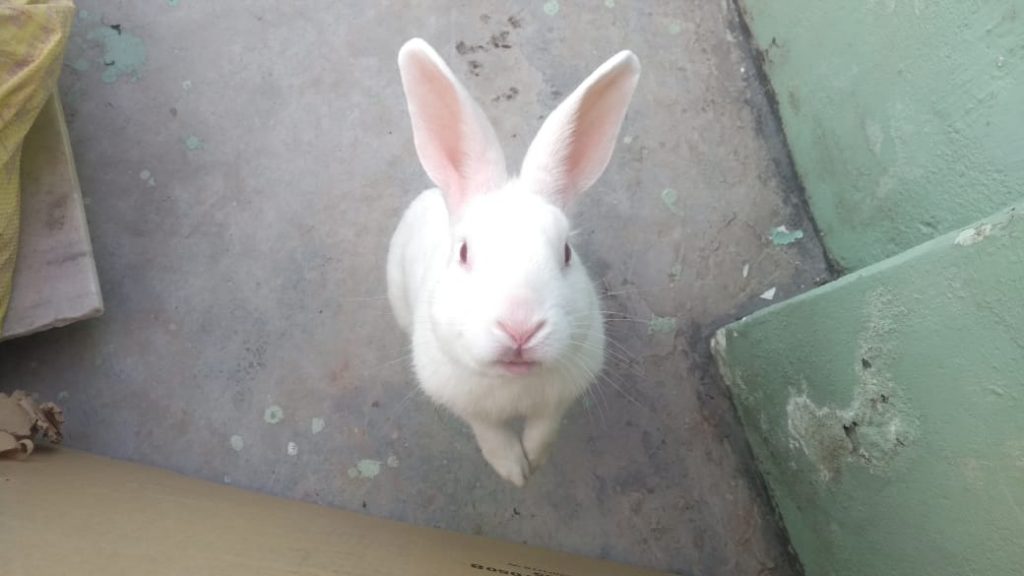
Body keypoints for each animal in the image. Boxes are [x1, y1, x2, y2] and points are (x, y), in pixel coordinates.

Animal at [385, 36, 638, 483]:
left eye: (566, 252)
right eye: (464, 252)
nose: (521, 329)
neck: (514, 385)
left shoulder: (560, 398)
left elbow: (544, 427)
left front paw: (534, 459)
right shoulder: (469, 405)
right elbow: (490, 432)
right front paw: (513, 471)